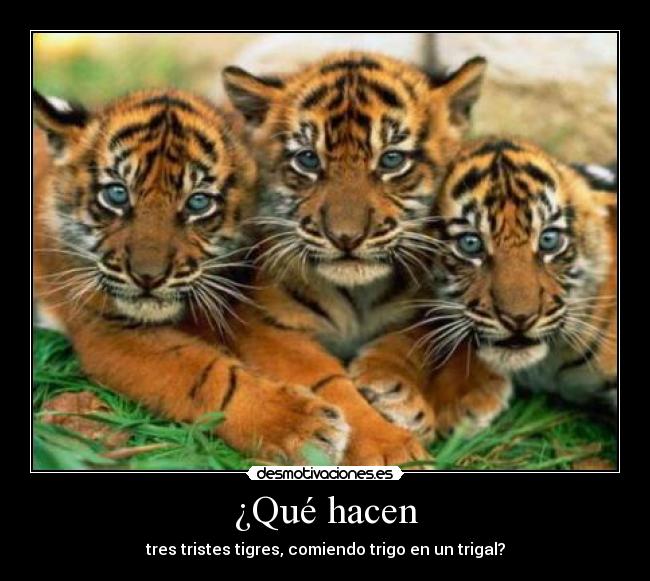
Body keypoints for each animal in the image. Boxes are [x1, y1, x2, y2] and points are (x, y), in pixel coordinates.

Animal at [33, 88, 351, 465]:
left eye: (198, 203)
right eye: (117, 194)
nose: (148, 277)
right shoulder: (108, 328)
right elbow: (206, 374)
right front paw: (303, 428)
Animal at [220, 51, 487, 465]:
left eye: (391, 160)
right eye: (308, 160)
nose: (346, 237)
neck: (357, 295)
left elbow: (409, 341)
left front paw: (394, 388)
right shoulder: (266, 326)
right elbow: (328, 383)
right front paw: (389, 448)